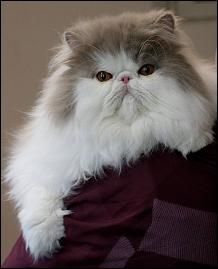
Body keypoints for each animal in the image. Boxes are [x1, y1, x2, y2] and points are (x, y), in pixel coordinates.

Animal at [4, 9, 217, 258]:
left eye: (146, 70)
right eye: (103, 76)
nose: (125, 78)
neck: (123, 133)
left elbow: (175, 123)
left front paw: (193, 140)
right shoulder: (39, 163)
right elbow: (40, 194)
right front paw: (43, 243)